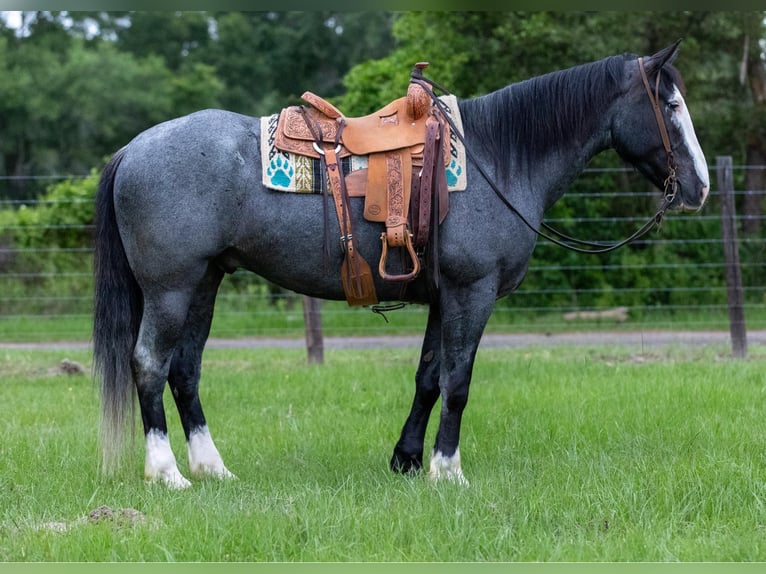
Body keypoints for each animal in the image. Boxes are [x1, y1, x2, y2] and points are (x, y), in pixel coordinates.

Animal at [93, 41, 712, 490]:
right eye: (672, 105)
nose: (701, 187)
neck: (497, 157)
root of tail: (132, 149)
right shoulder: (471, 291)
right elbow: (459, 381)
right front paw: (447, 470)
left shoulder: (444, 295)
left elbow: (429, 378)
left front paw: (408, 460)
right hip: (170, 288)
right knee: (149, 363)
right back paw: (167, 474)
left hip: (204, 282)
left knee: (184, 370)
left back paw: (212, 468)